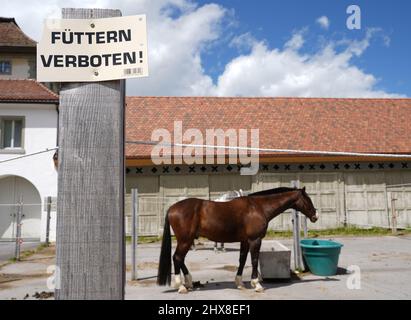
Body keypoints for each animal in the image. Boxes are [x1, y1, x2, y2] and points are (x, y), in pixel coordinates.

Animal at [158, 185, 318, 292]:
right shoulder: (255, 240)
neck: (258, 207)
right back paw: (181, 286)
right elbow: (254, 260)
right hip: (185, 240)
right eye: (308, 199)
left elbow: (242, 260)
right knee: (177, 258)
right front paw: (257, 284)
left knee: (180, 259)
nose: (315, 216)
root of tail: (172, 208)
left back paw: (189, 282)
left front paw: (240, 283)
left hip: (187, 240)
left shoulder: (245, 241)